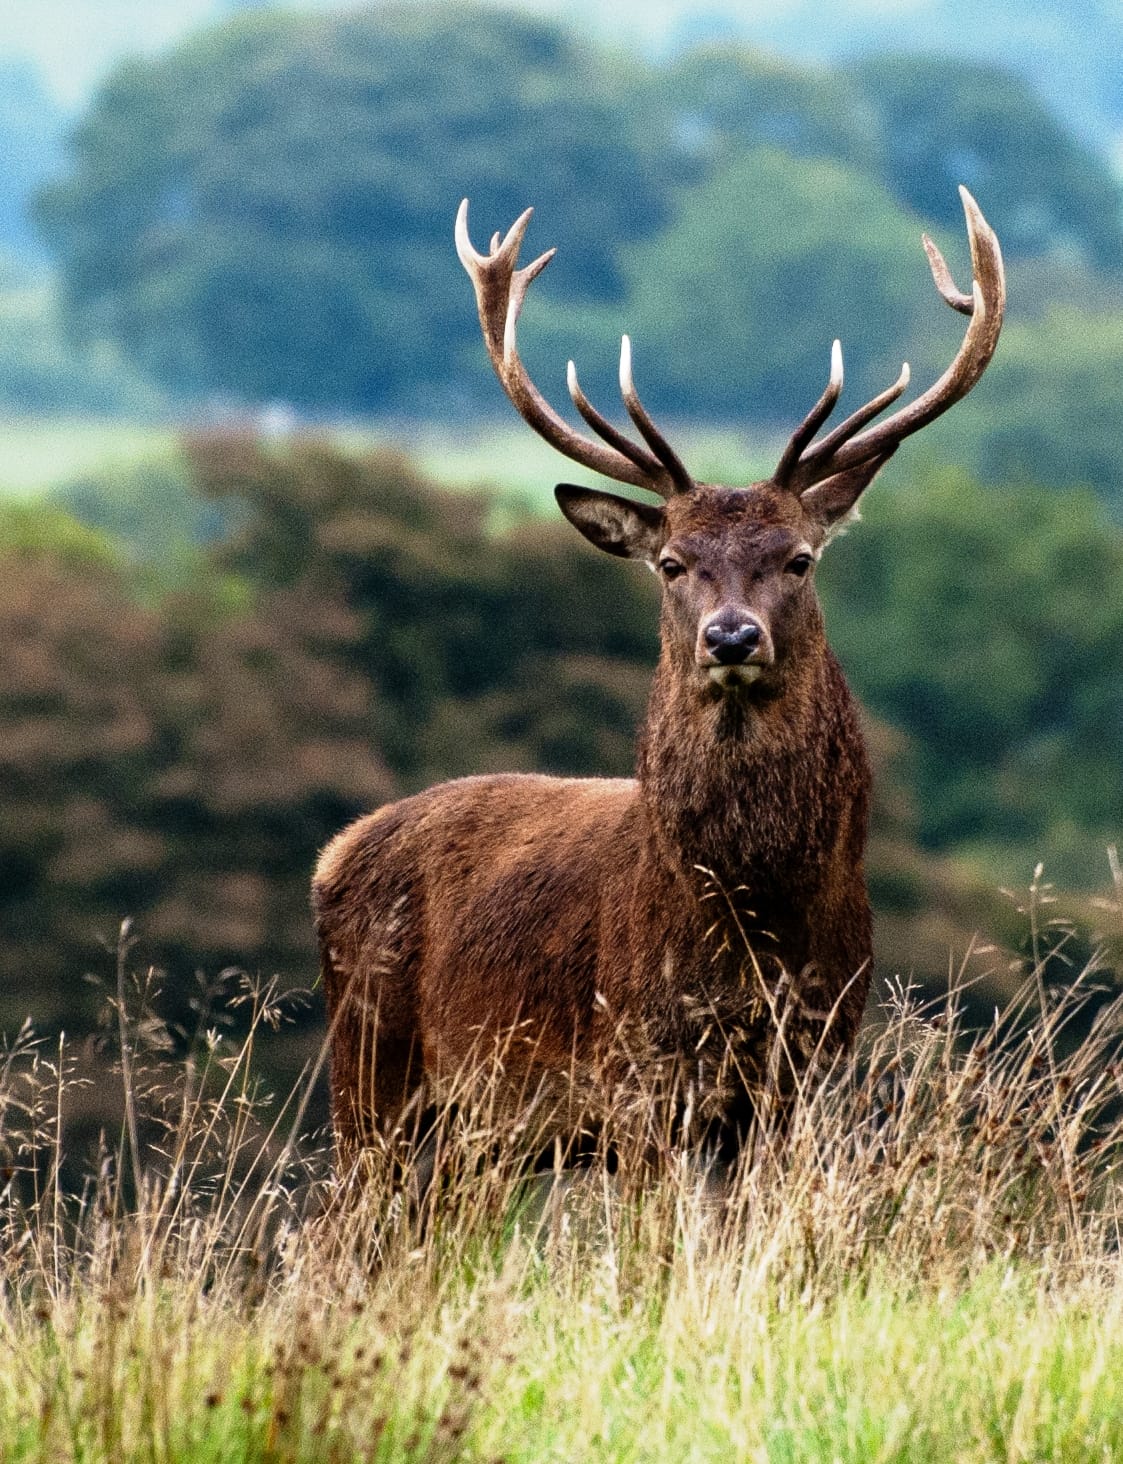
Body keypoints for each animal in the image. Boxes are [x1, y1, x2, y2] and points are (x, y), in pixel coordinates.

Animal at [313, 187, 1004, 1171]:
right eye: (672, 564)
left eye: (797, 560)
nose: (730, 636)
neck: (752, 927)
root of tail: (334, 854)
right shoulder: (637, 1069)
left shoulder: (809, 1064)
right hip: (371, 1077)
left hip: (471, 1136)